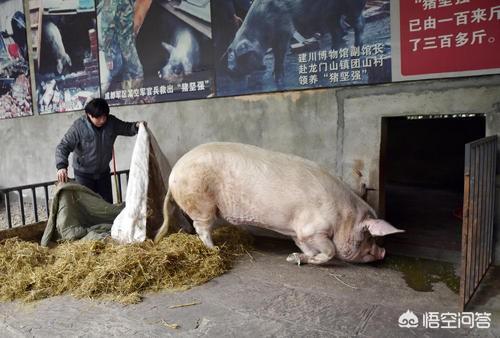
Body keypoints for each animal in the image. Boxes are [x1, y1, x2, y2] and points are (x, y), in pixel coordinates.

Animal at [154, 142, 404, 264]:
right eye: (369, 236)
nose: (383, 252)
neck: (344, 218)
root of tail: (173, 173)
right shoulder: (313, 229)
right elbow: (331, 251)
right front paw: (309, 259)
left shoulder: (300, 233)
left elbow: (305, 247)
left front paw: (294, 258)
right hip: (201, 202)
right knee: (201, 228)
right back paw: (215, 249)